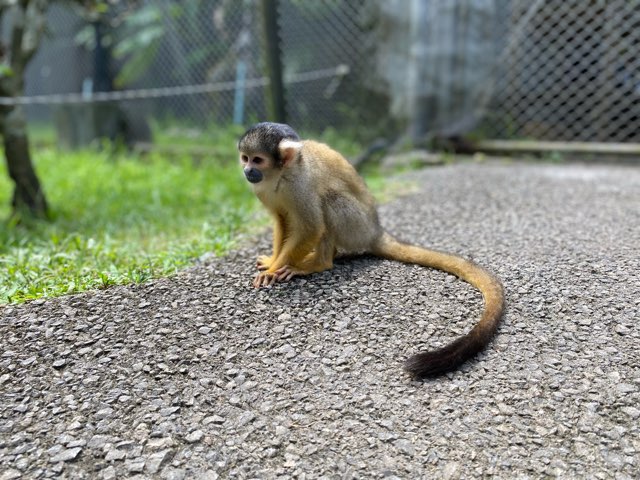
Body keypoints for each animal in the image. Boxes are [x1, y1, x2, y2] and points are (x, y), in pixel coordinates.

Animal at [238, 122, 502, 376]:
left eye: (257, 159)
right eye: (245, 158)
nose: (247, 171)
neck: (279, 175)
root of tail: (375, 229)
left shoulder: (298, 186)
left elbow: (311, 227)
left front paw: (274, 270)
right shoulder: (262, 189)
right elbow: (282, 220)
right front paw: (272, 261)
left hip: (357, 226)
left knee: (328, 200)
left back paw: (319, 262)